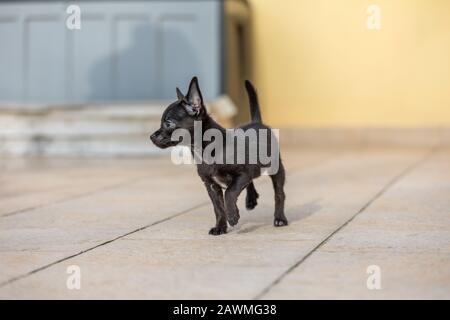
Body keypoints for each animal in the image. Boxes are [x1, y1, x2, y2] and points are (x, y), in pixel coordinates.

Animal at [149, 77, 286, 235]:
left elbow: (229, 193)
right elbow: (218, 208)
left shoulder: (242, 175)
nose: (151, 137)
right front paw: (220, 227)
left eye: (168, 123)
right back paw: (251, 199)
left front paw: (232, 216)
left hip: (276, 168)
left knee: (279, 194)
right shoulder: (211, 185)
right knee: (251, 181)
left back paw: (280, 218)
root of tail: (257, 122)